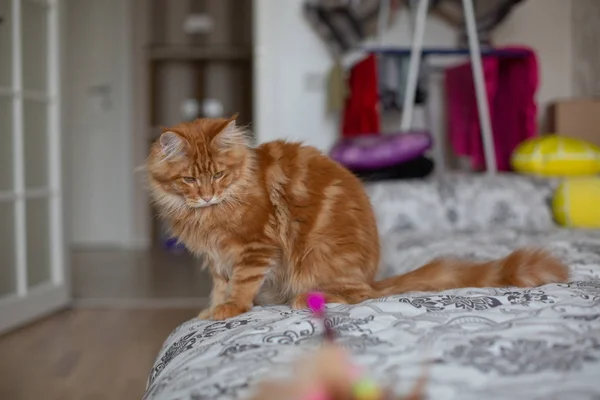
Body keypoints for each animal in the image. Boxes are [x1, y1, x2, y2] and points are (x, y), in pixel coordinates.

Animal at [148, 115, 568, 318]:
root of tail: (372, 274)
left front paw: (231, 310)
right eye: (190, 180)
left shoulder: (255, 248)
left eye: (218, 174)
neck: (208, 216)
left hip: (319, 260)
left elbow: (241, 286)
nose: (207, 194)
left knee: (359, 295)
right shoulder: (218, 259)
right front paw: (209, 311)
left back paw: (306, 300)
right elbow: (220, 286)